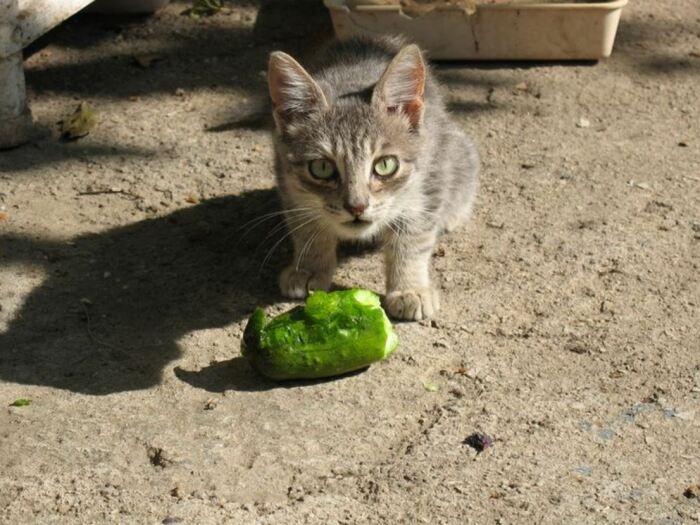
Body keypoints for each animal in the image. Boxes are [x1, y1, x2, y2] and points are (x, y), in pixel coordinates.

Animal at [266, 36, 478, 320]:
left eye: (385, 165)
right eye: (321, 168)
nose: (356, 206)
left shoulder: (428, 184)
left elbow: (412, 239)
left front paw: (409, 288)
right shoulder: (288, 184)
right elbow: (307, 227)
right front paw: (309, 268)